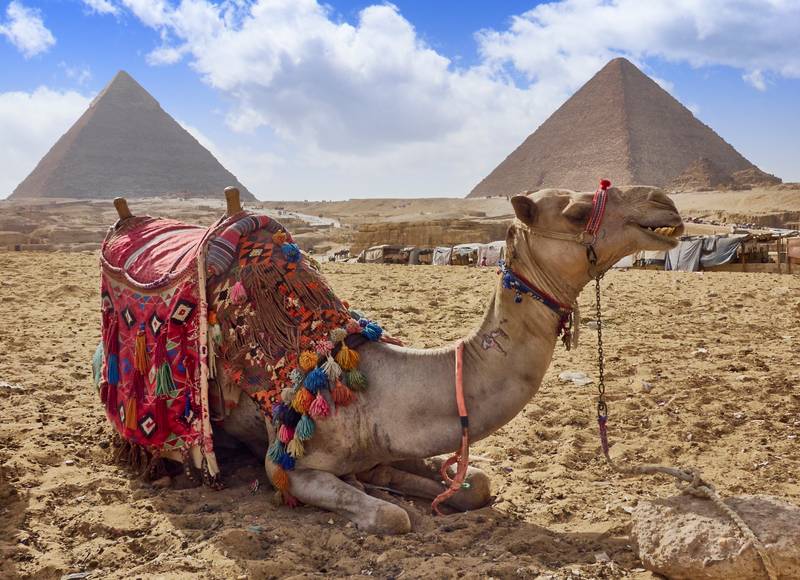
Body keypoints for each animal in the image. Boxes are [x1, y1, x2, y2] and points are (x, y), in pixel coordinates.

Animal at [95, 185, 683, 535]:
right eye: (578, 211)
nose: (664, 203)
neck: (375, 383)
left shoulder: (392, 442)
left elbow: (475, 484)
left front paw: (394, 482)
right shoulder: (291, 468)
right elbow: (394, 518)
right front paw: (373, 494)